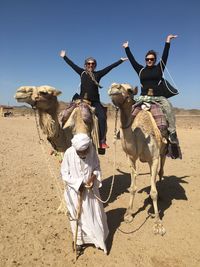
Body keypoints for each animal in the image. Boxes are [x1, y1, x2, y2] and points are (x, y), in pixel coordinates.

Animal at [108, 82, 167, 236]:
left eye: (129, 90)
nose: (114, 86)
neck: (140, 138)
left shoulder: (154, 158)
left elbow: (153, 192)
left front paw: (158, 224)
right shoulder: (131, 158)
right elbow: (133, 187)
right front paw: (128, 214)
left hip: (163, 152)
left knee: (161, 172)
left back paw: (162, 194)